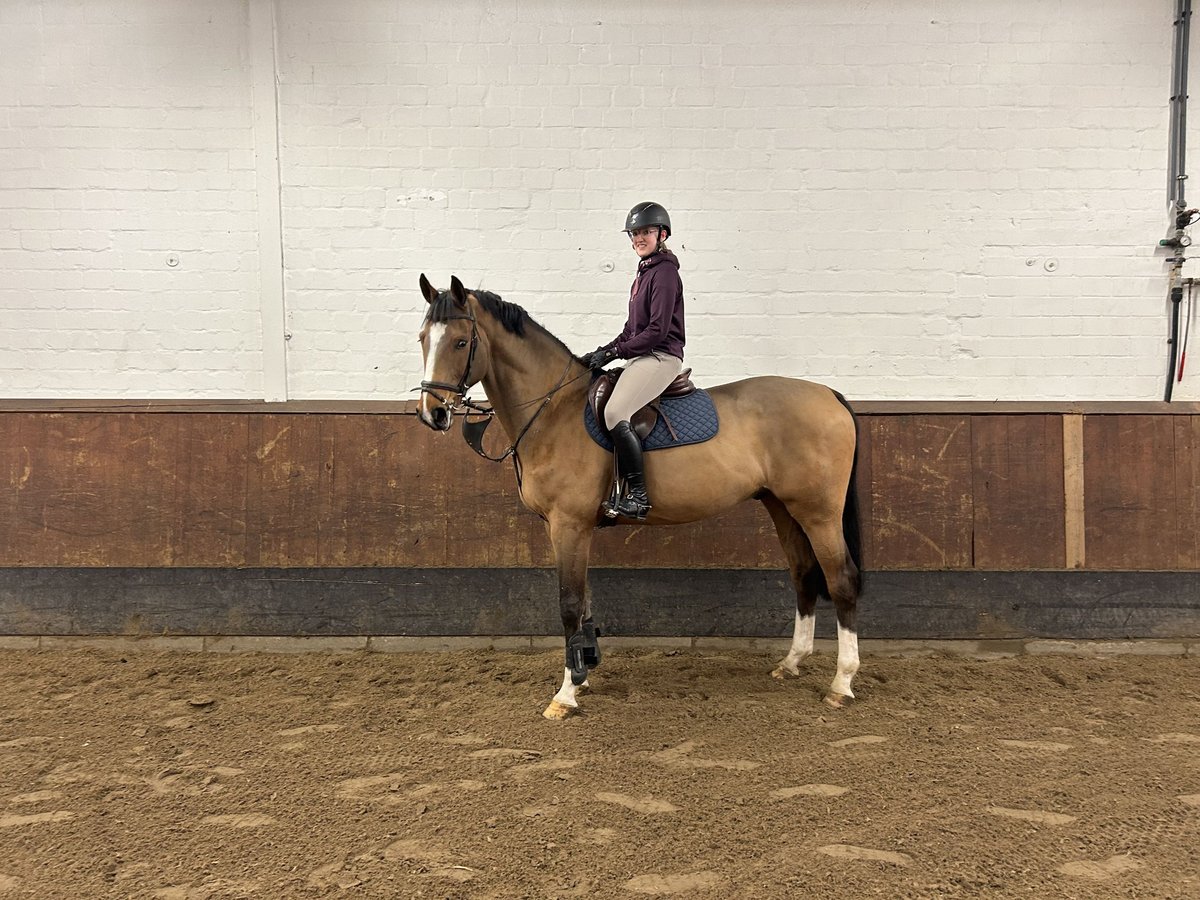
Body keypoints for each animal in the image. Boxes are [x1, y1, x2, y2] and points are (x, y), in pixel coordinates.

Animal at [415, 271, 864, 724]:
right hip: (783, 507)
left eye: (460, 342)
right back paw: (791, 663)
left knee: (841, 580)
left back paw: (842, 684)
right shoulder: (569, 529)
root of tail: (828, 394)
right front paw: (584, 673)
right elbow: (585, 601)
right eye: (422, 338)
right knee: (803, 575)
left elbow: (569, 603)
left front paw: (566, 694)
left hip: (818, 513)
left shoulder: (569, 525)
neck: (553, 410)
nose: (433, 414)